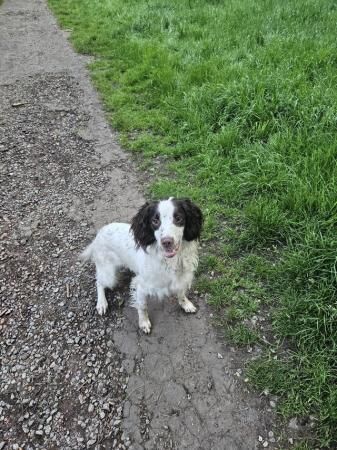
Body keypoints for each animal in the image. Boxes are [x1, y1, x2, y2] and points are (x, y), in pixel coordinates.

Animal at [80, 199, 202, 332]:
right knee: (99, 282)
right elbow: (142, 306)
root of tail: (99, 233)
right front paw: (144, 322)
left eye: (178, 218)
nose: (167, 242)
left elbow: (181, 293)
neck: (169, 262)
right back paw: (101, 303)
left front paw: (186, 304)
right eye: (155, 221)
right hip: (109, 275)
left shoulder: (182, 278)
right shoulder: (141, 286)